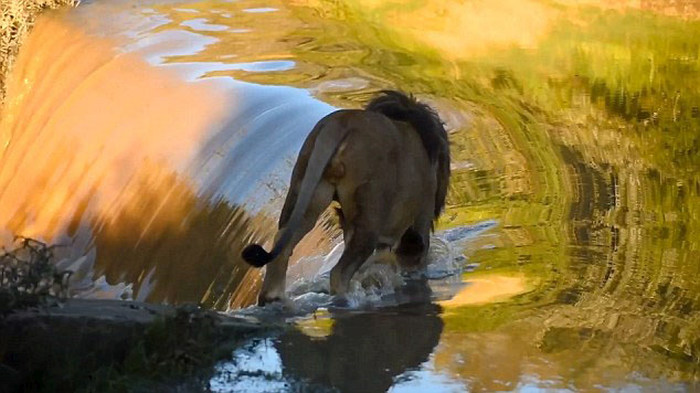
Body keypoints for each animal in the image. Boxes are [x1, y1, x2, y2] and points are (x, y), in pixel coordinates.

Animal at [242, 90, 448, 304]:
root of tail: (340, 123)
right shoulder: (420, 224)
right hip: (369, 217)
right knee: (339, 273)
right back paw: (348, 298)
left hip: (308, 195)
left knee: (282, 245)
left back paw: (274, 297)